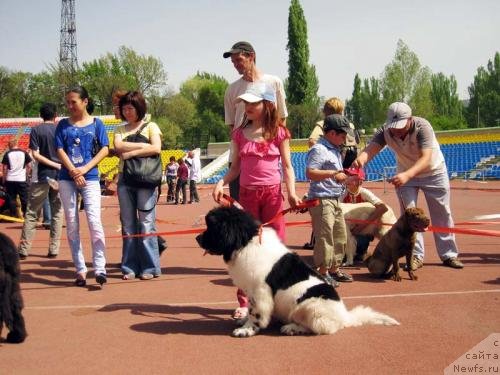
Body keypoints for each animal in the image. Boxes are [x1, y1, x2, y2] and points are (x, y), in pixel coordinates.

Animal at [195, 207, 398, 340]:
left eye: (211, 227)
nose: (197, 237)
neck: (245, 241)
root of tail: (345, 317)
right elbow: (250, 309)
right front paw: (243, 320)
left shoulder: (260, 291)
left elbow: (256, 313)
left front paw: (247, 330)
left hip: (310, 306)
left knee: (322, 328)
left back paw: (292, 328)